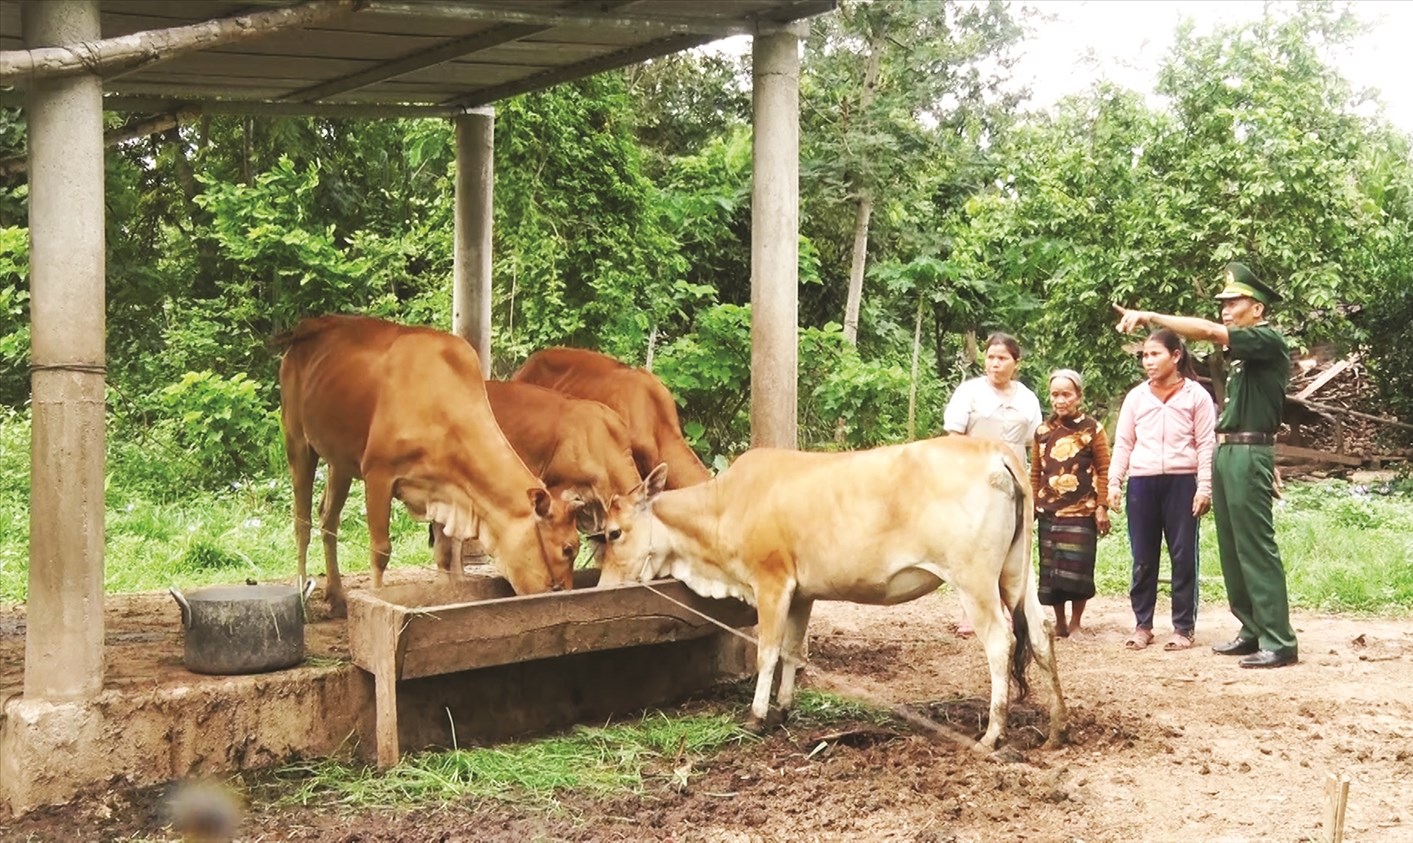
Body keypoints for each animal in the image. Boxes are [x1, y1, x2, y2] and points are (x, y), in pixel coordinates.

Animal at [275, 312, 584, 615]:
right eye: (568, 548)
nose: (567, 595)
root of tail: (308, 326)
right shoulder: (378, 474)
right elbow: (380, 551)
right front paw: (376, 599)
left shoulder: (443, 488)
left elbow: (445, 554)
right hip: (297, 440)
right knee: (302, 523)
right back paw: (302, 596)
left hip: (339, 461)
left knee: (328, 518)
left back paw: (337, 596)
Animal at [596, 434, 1068, 751]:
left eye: (614, 533)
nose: (602, 587)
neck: (723, 507)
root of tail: (995, 450)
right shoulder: (802, 593)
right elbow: (793, 652)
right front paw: (783, 709)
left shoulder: (771, 583)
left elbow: (768, 652)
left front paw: (756, 717)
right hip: (1018, 574)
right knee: (1040, 635)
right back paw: (1057, 728)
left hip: (974, 579)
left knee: (1000, 642)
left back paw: (992, 733)